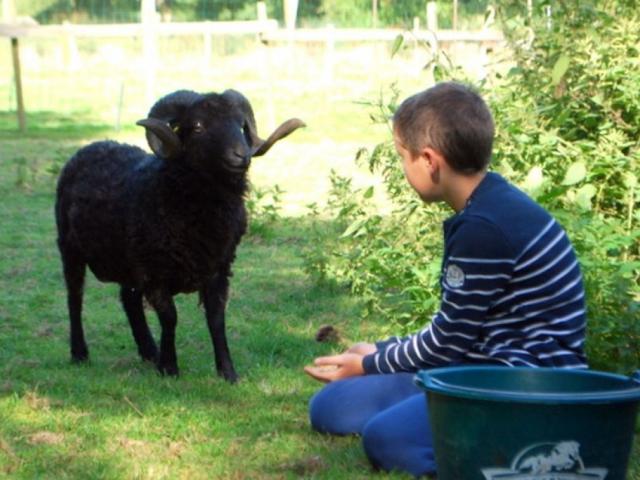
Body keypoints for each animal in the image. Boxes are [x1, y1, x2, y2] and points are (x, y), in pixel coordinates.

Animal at [55, 91, 304, 382]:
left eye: (241, 124)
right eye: (197, 126)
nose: (241, 155)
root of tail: (92, 146)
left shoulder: (218, 268)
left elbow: (216, 319)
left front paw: (227, 372)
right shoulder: (155, 272)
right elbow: (170, 317)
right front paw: (170, 368)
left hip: (129, 262)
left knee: (128, 299)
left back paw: (149, 351)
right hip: (70, 248)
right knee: (75, 298)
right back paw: (80, 353)